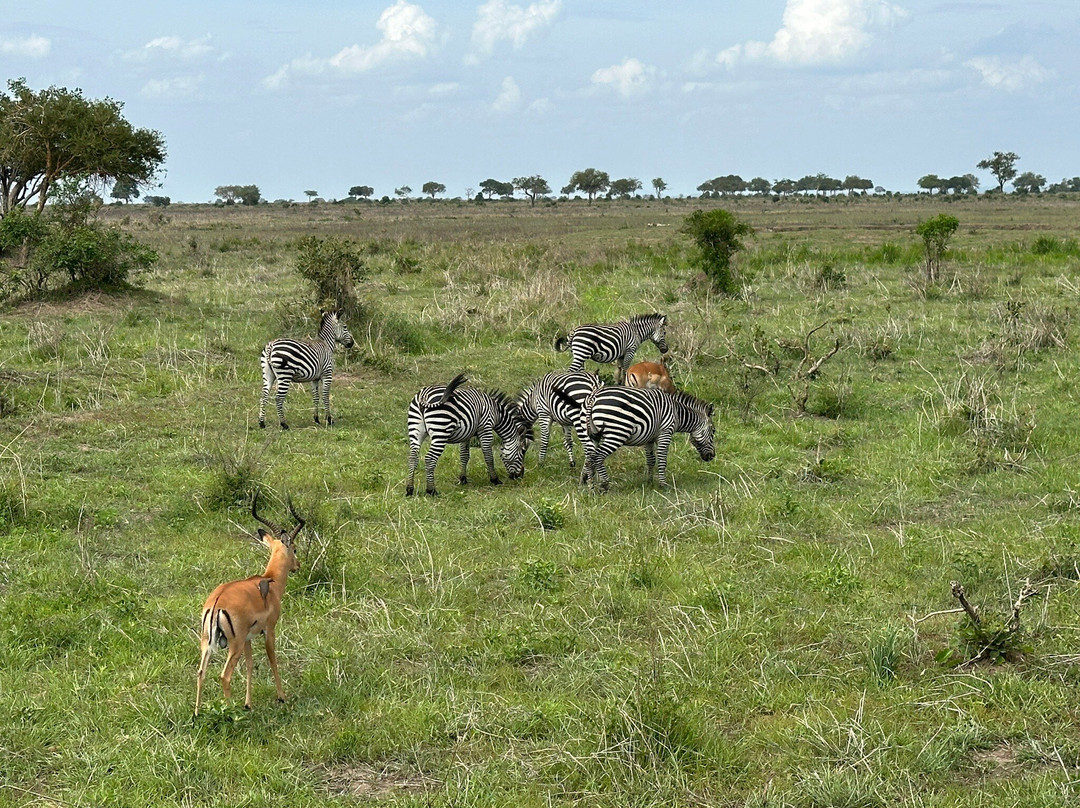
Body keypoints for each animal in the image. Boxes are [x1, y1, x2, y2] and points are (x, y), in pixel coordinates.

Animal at [570, 386, 712, 492]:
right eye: (713, 432)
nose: (712, 457)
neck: (676, 413)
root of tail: (593, 397)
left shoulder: (649, 438)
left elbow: (651, 460)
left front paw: (649, 481)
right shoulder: (665, 432)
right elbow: (662, 459)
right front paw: (663, 485)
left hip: (590, 433)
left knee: (590, 457)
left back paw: (590, 486)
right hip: (617, 433)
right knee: (598, 456)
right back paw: (604, 484)